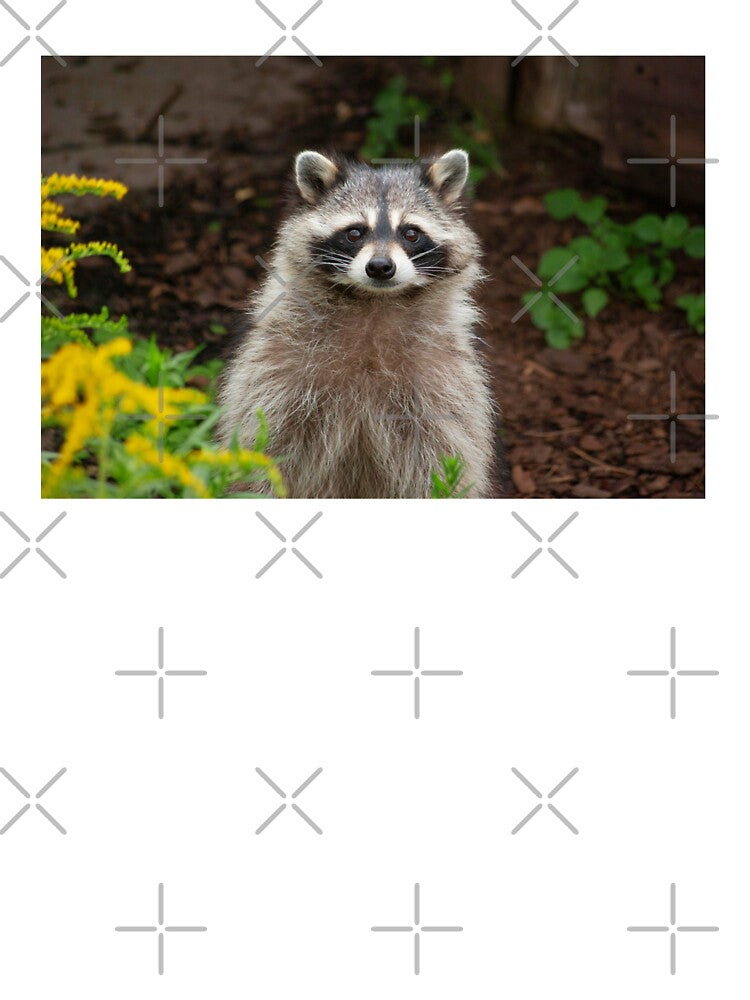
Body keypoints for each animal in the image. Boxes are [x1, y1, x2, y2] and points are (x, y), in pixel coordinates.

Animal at [218, 149, 500, 498]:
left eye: (410, 233)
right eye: (355, 232)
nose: (380, 267)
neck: (374, 301)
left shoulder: (444, 377)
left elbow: (445, 451)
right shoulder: (277, 366)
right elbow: (265, 442)